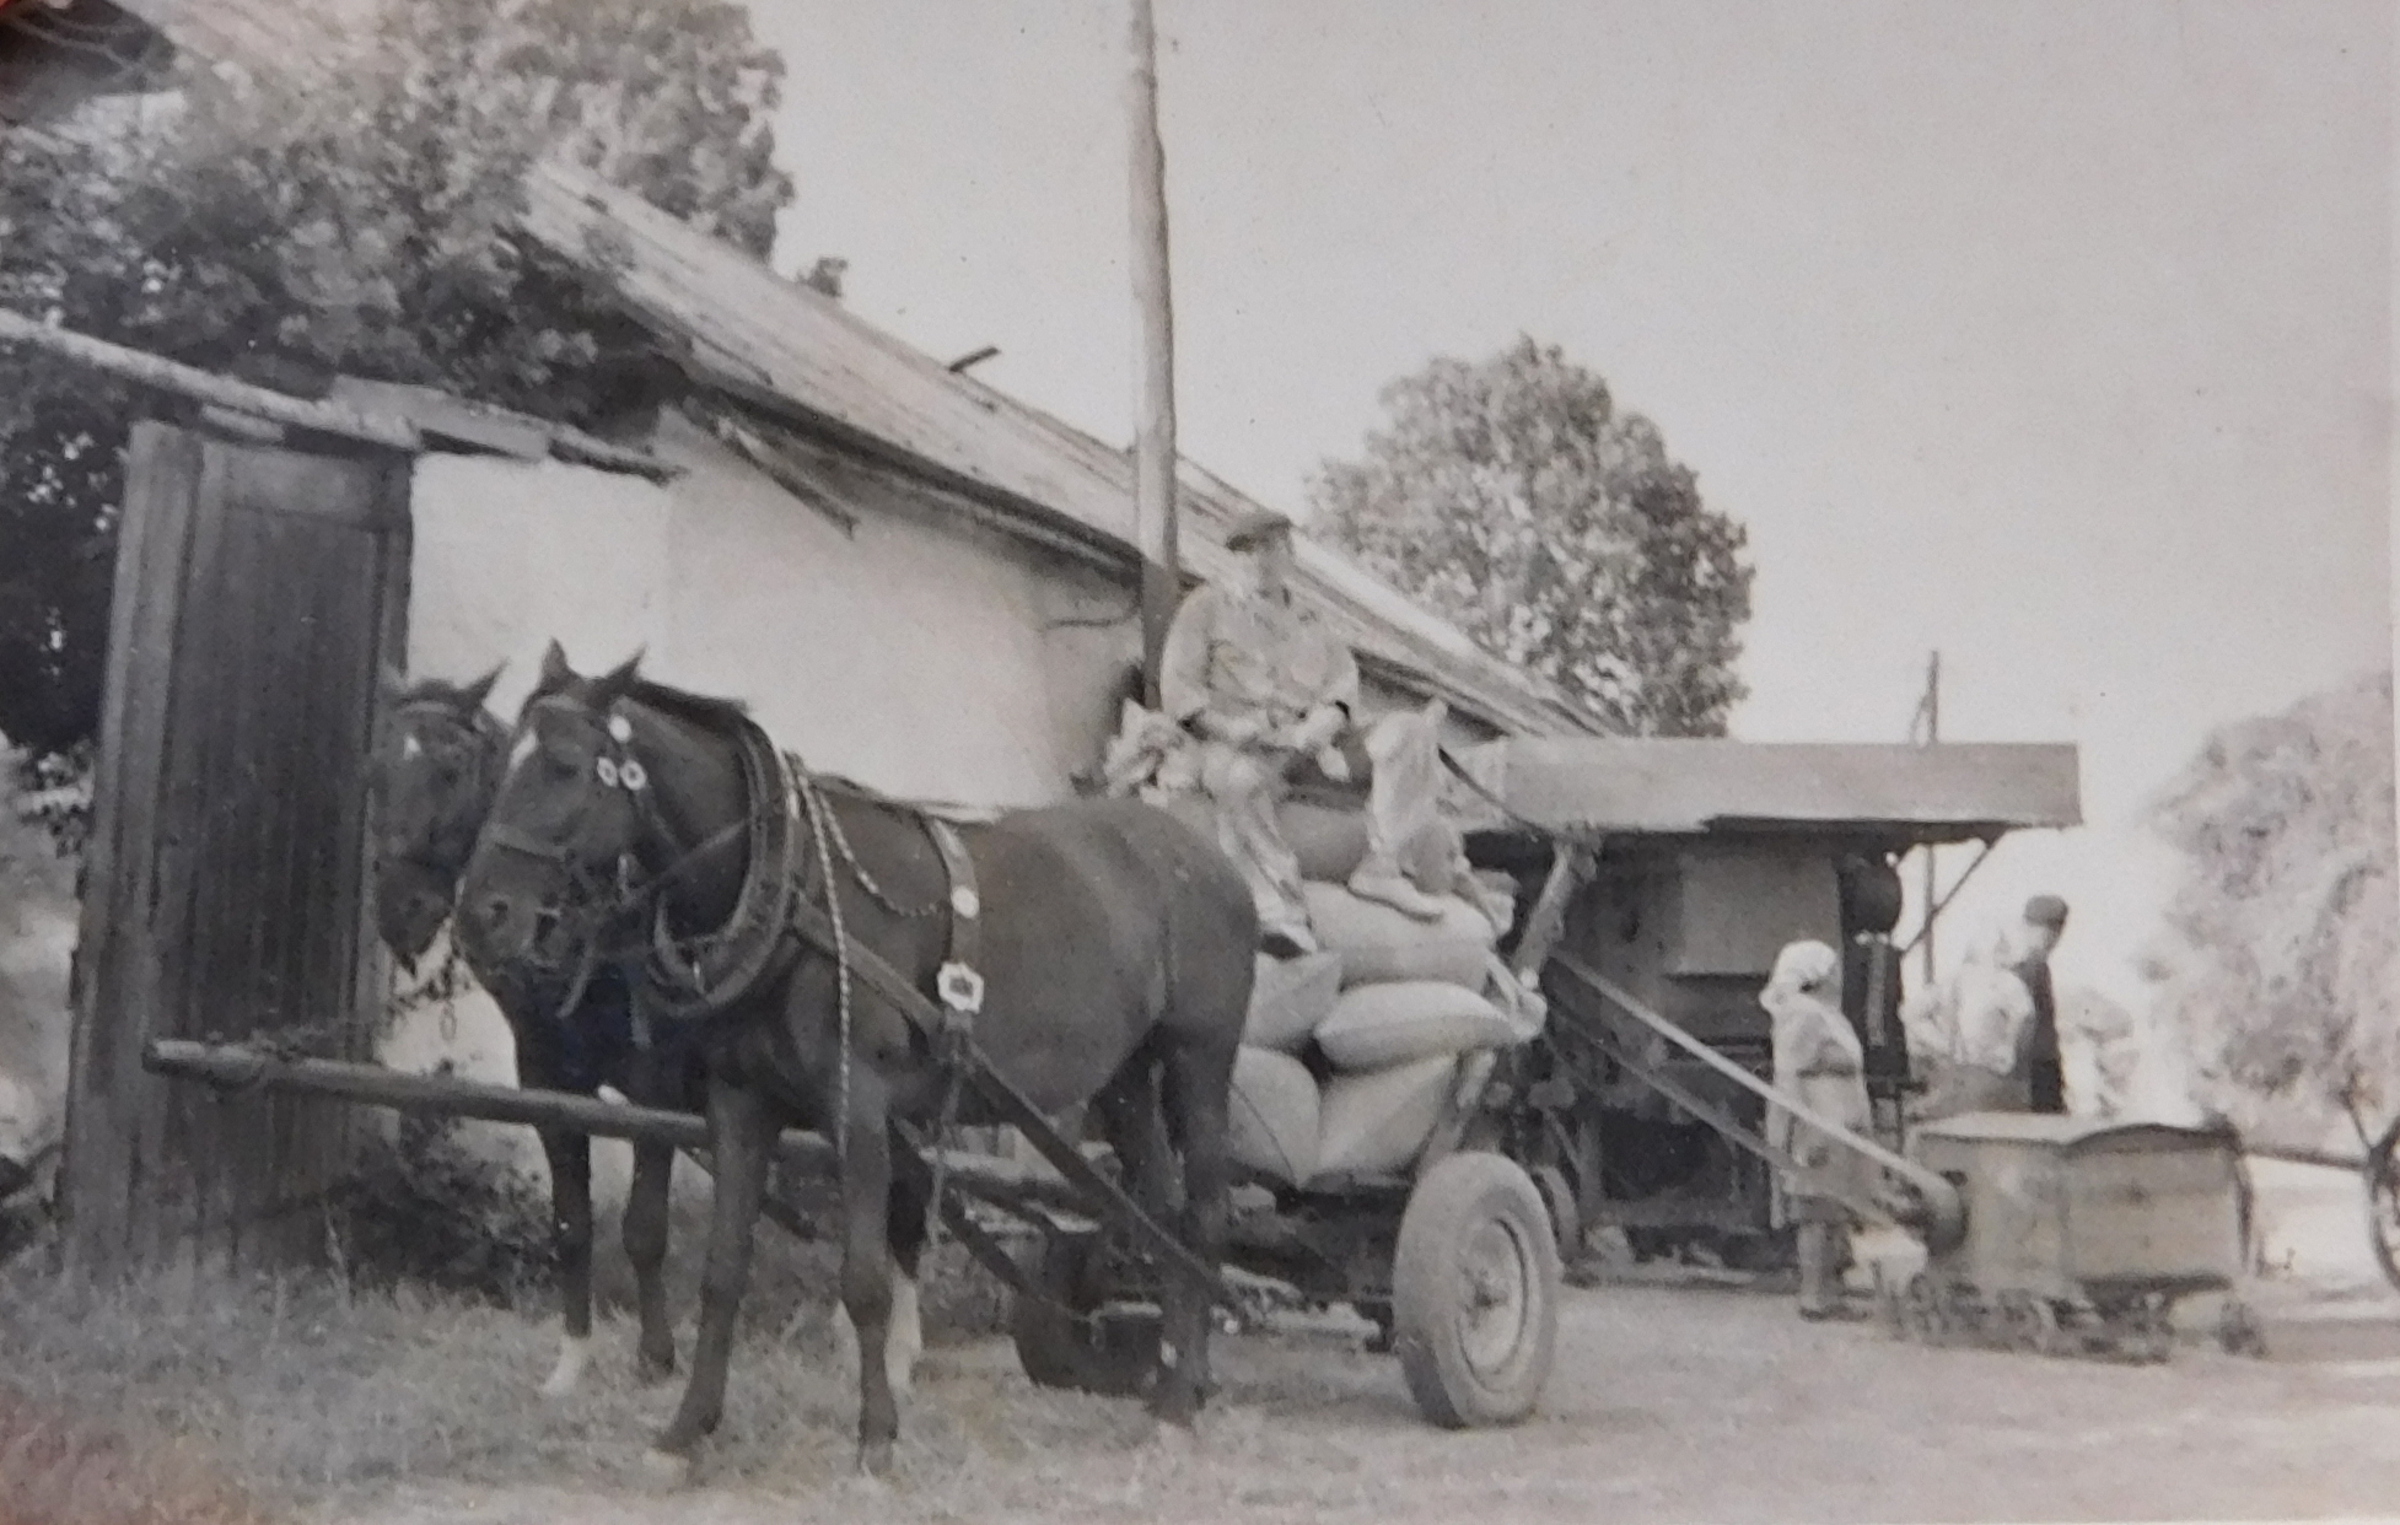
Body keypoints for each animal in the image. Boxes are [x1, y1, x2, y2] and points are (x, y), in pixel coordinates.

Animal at [453, 644, 1255, 1477]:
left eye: (565, 766)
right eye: (501, 758)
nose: (480, 915)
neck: (790, 884)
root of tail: (1210, 858)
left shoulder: (859, 1104)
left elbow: (865, 1279)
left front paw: (875, 1434)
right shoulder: (739, 1101)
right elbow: (721, 1271)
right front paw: (685, 1429)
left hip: (1199, 1058)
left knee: (1201, 1215)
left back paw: (1177, 1401)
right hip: (1126, 1077)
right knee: (1158, 1212)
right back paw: (1172, 1378)